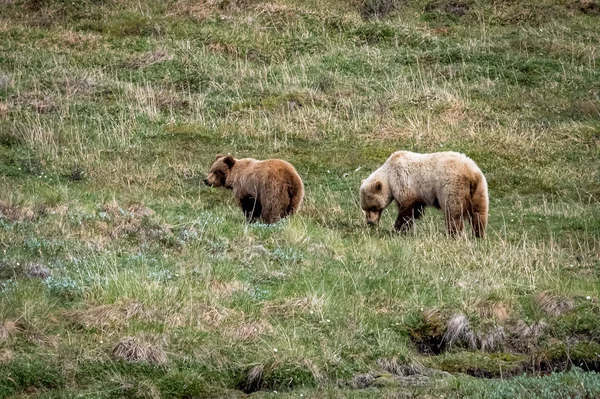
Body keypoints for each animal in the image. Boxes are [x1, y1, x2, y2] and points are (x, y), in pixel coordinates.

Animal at [358, 151, 490, 238]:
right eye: (365, 208)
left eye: (373, 207)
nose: (370, 222)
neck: (388, 176)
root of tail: (471, 174)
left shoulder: (403, 180)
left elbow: (408, 209)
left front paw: (397, 228)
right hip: (480, 189)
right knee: (479, 213)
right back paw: (478, 234)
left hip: (452, 187)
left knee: (453, 212)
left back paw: (453, 234)